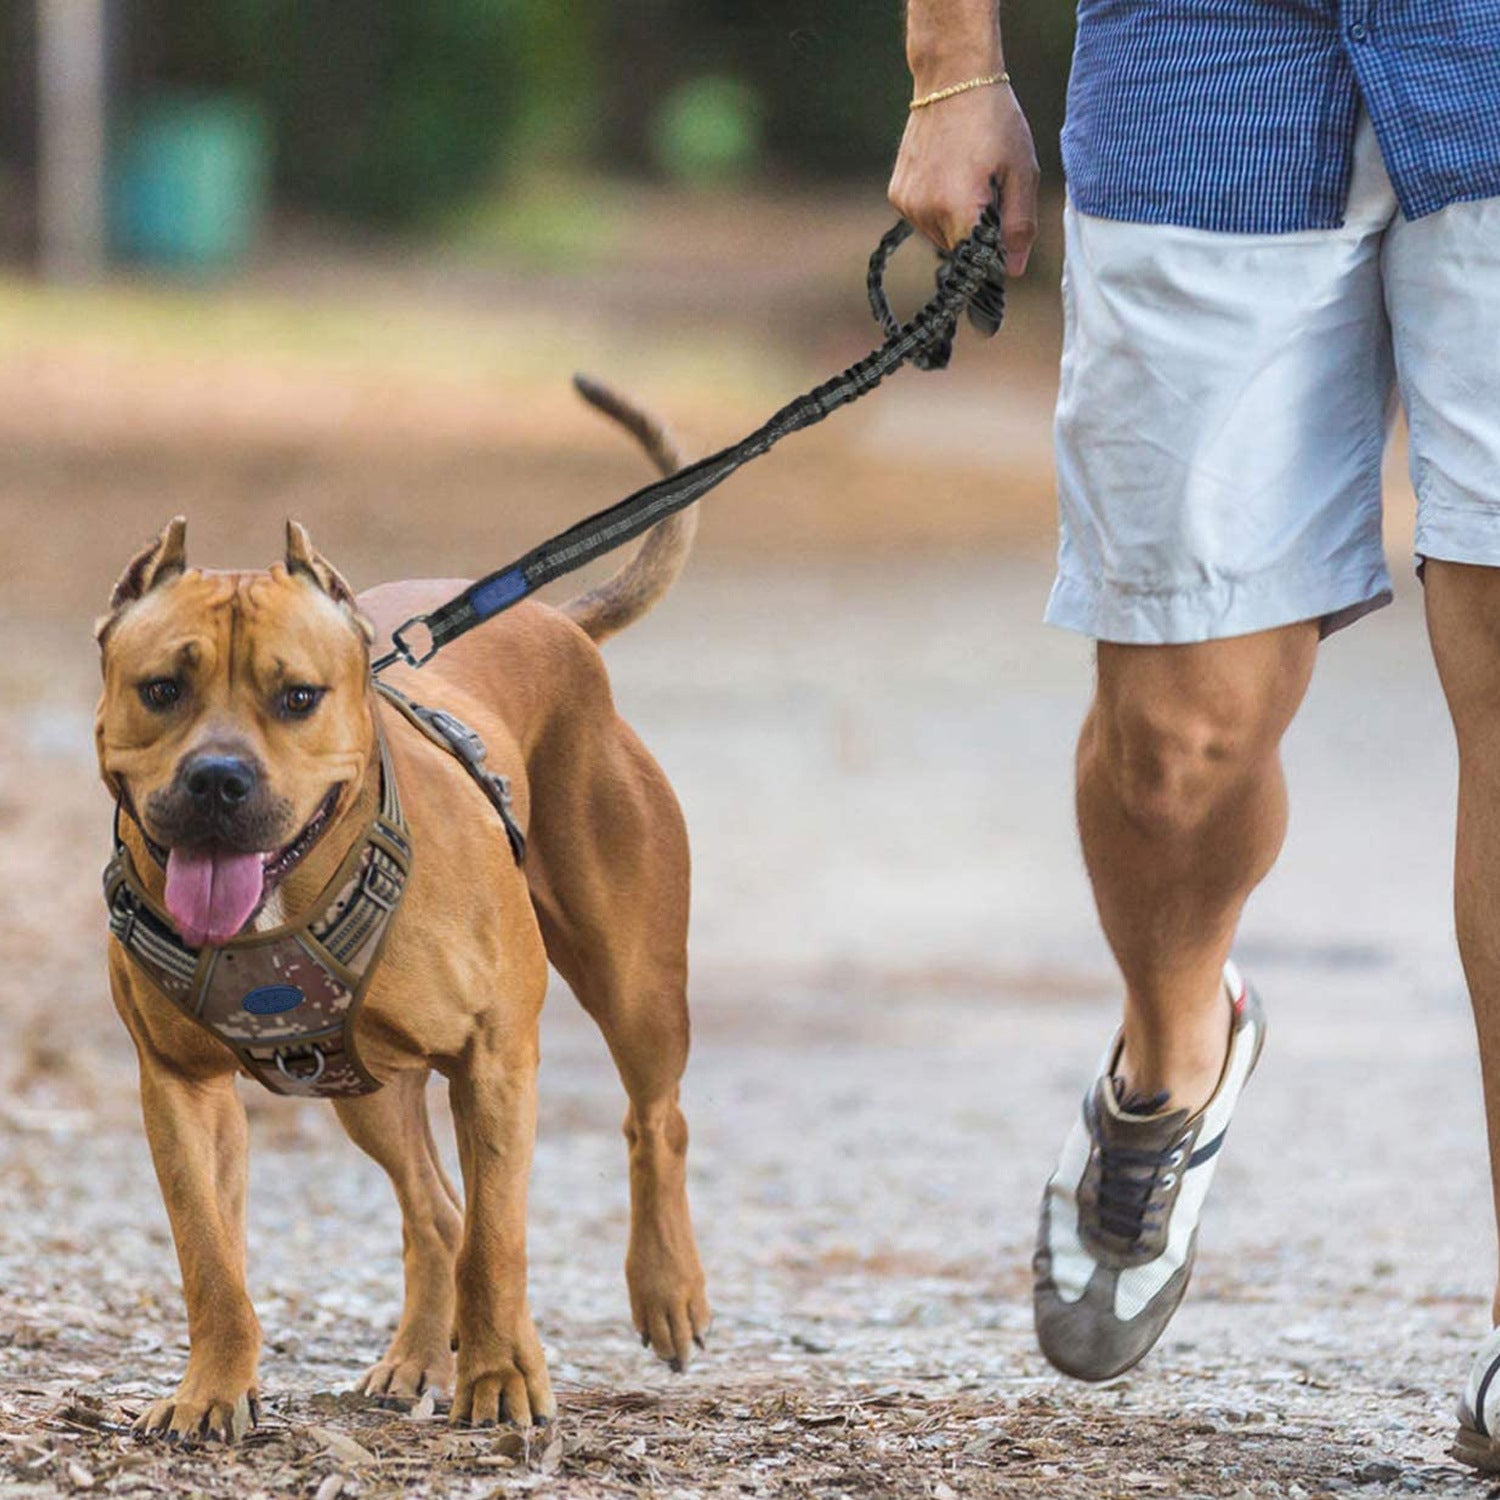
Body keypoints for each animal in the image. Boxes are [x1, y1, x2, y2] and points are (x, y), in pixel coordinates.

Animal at [96, 384, 711, 1440]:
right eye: (161, 689)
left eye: (298, 697)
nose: (217, 779)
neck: (285, 909)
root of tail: (557, 624)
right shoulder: (180, 1086)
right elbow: (209, 1255)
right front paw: (212, 1388)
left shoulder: (495, 1059)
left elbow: (502, 1240)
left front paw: (499, 1380)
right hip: (369, 1089)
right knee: (436, 1215)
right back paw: (420, 1355)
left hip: (634, 985)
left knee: (650, 1122)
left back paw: (663, 1289)